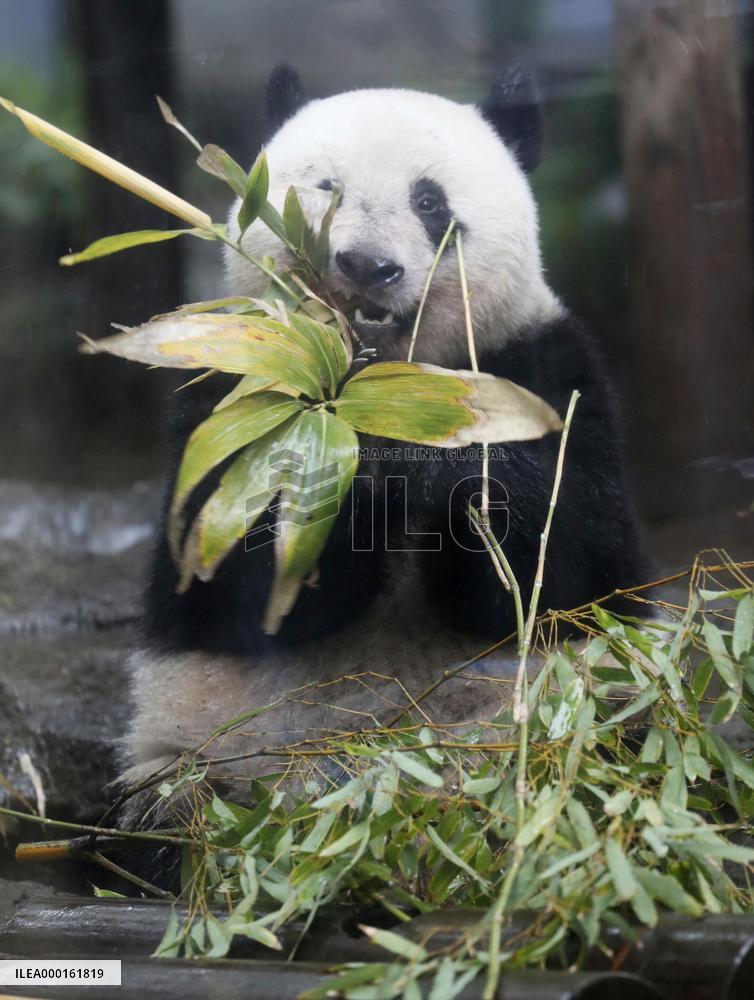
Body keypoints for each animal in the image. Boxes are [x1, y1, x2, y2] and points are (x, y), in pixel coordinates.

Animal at [120, 65, 651, 827]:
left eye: (429, 201)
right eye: (324, 188)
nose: (366, 266)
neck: (375, 378)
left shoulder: (549, 372)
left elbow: (568, 571)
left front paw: (417, 467)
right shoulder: (231, 387)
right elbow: (227, 582)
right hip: (204, 755)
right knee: (171, 804)